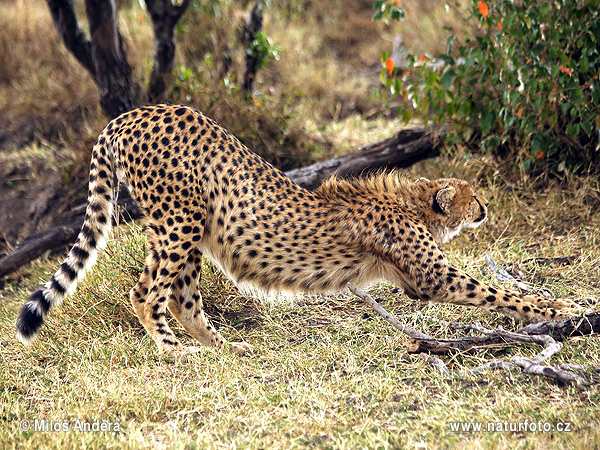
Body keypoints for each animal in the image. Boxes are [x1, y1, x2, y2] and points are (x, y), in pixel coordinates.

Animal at [14, 104, 584, 356]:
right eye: (475, 197)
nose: (487, 208)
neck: (414, 203)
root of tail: (132, 112)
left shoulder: (412, 283)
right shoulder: (432, 278)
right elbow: (497, 291)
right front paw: (562, 308)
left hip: (191, 229)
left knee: (181, 295)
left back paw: (225, 348)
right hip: (178, 221)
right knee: (146, 291)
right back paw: (177, 350)